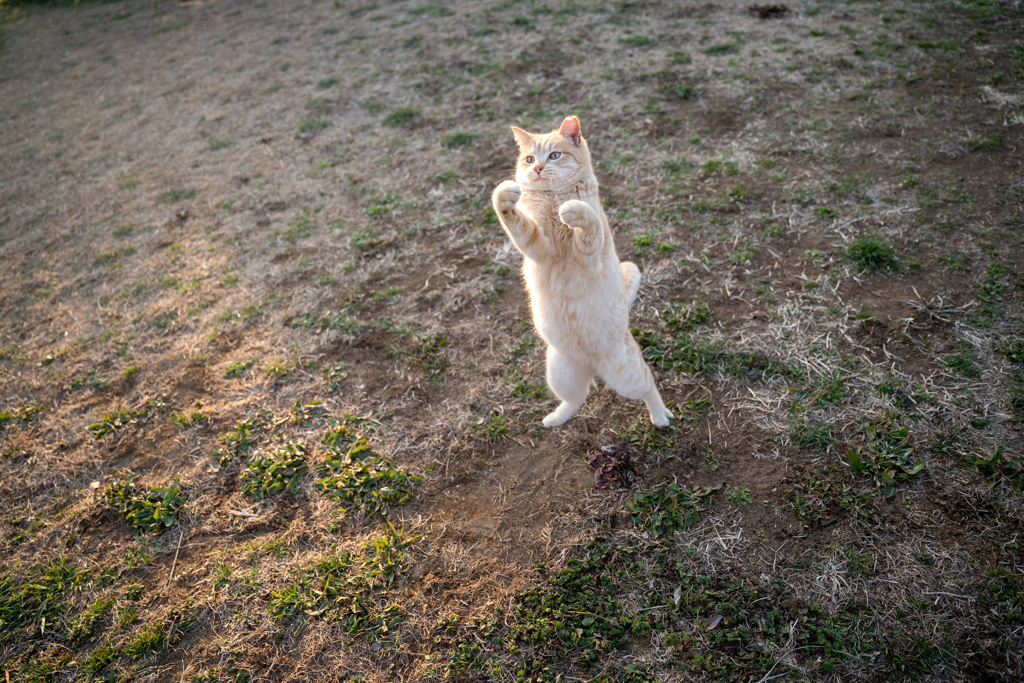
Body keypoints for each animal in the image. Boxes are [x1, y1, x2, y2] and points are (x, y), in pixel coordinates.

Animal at [491, 116, 675, 428]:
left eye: (554, 155)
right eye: (529, 159)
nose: (537, 169)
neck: (554, 198)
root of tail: (592, 364)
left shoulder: (588, 255)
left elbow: (589, 224)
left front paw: (575, 211)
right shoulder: (537, 247)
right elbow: (514, 220)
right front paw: (505, 196)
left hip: (627, 376)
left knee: (648, 383)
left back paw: (660, 416)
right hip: (560, 375)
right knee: (578, 398)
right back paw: (555, 419)